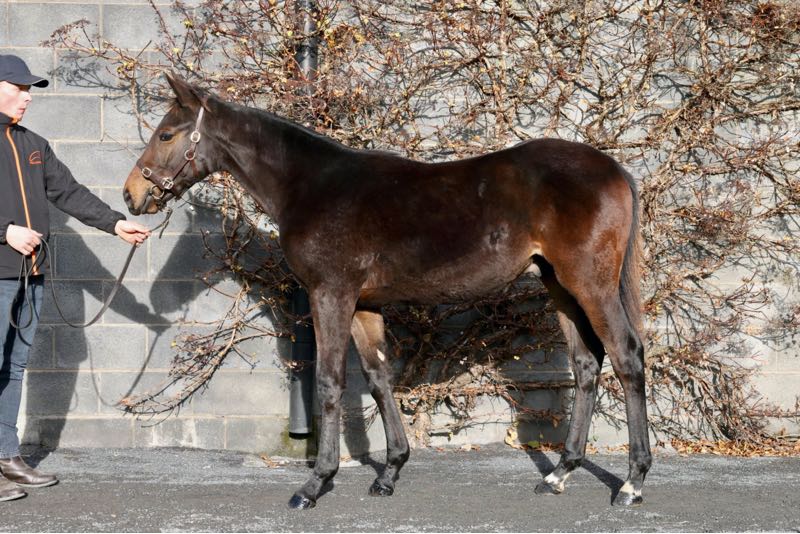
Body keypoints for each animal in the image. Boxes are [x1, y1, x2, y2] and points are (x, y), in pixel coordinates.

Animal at [124, 72, 651, 509]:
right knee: (586, 365)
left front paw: (314, 484)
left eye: (166, 134)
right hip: (559, 285)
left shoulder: (330, 294)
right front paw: (390, 472)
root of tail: (616, 170)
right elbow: (379, 378)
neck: (311, 187)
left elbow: (330, 382)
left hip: (591, 284)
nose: (132, 195)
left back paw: (631, 483)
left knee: (626, 357)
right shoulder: (363, 304)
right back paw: (559, 474)